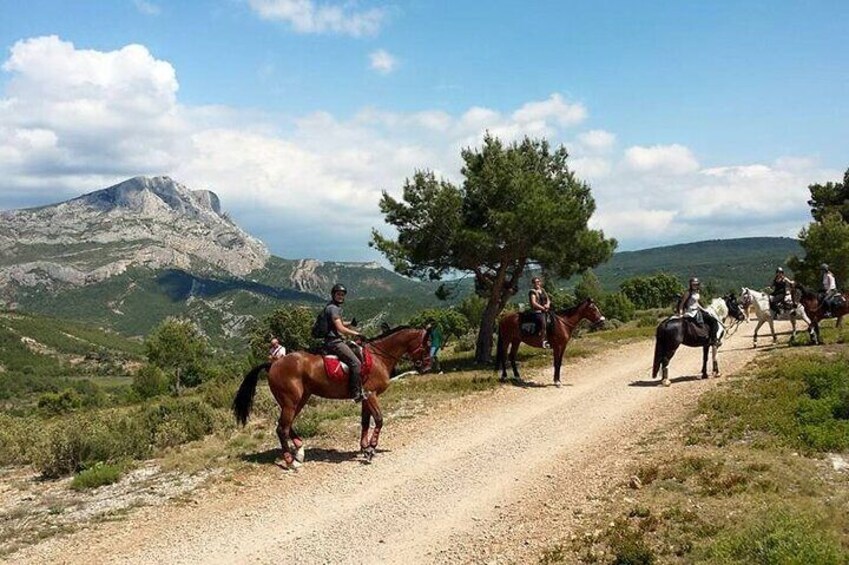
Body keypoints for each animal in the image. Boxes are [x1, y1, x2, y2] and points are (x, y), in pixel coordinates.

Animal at [232, 326, 430, 468]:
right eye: (427, 345)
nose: (427, 367)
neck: (377, 356)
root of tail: (274, 364)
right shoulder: (371, 395)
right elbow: (379, 420)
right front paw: (371, 449)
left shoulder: (365, 397)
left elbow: (365, 422)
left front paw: (364, 447)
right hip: (291, 401)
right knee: (282, 428)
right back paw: (290, 461)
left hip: (299, 399)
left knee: (285, 425)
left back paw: (300, 451)